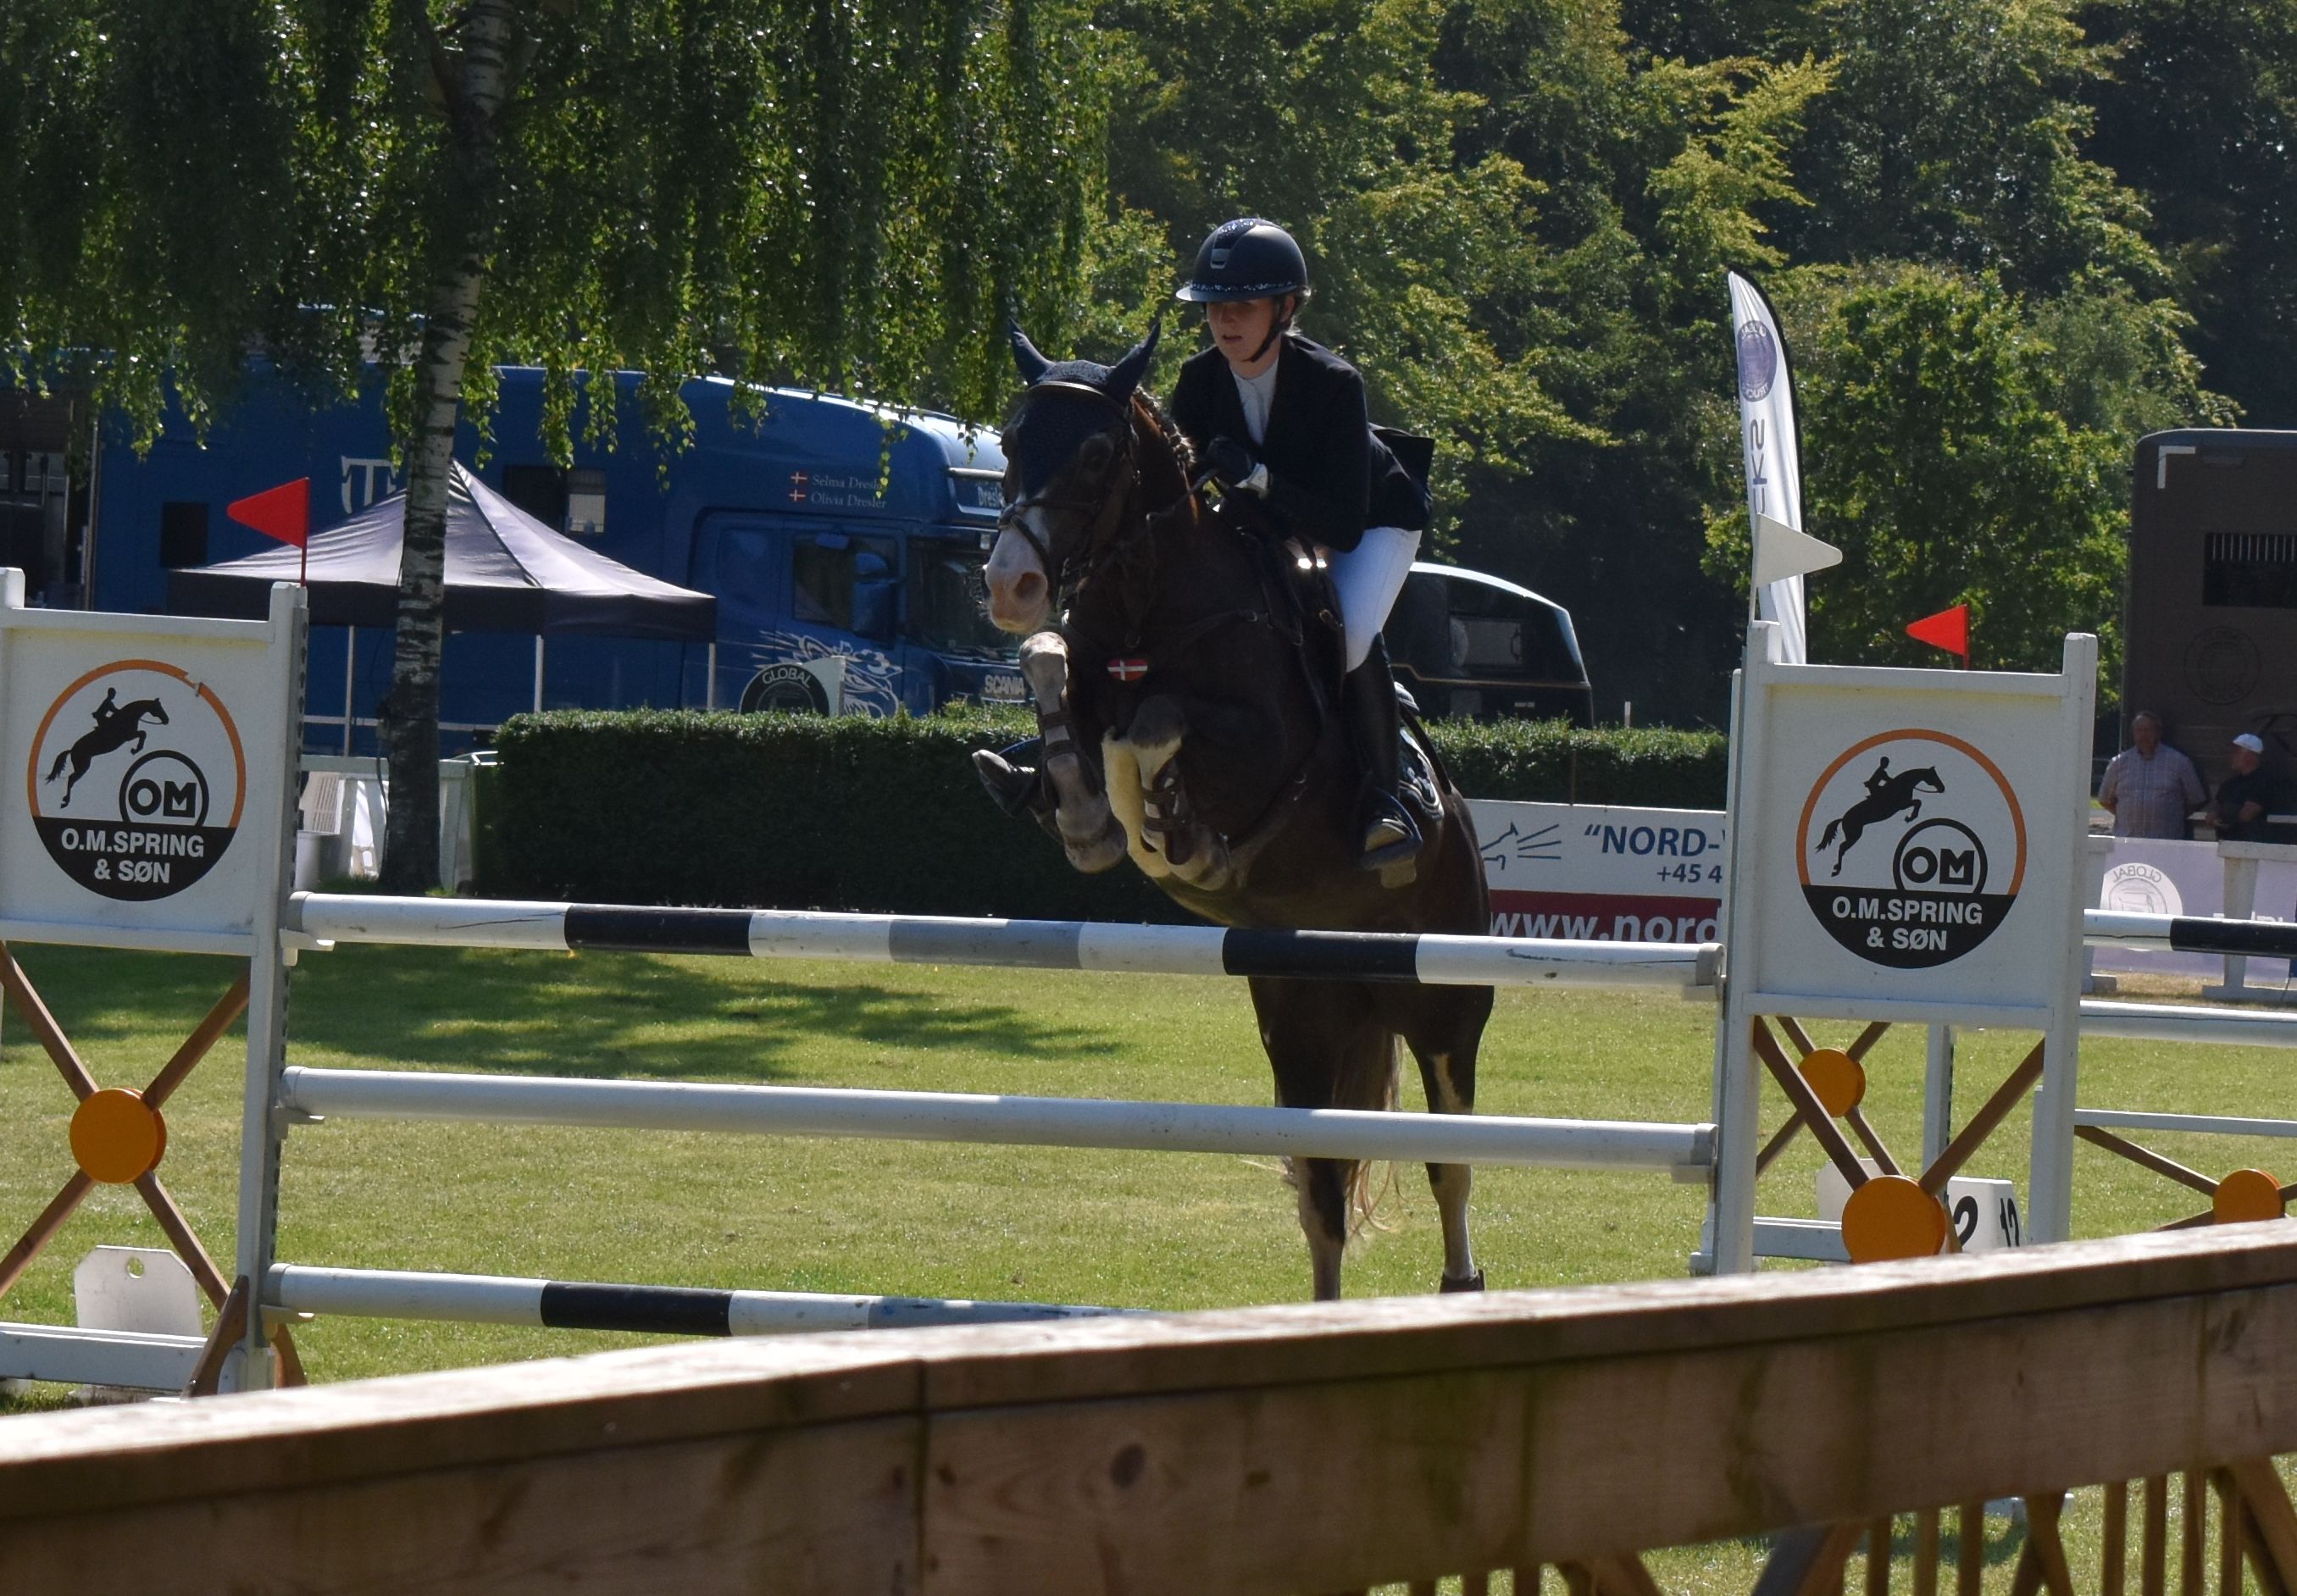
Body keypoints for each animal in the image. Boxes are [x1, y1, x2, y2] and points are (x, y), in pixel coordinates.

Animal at [42, 698, 169, 812]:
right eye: (159, 708)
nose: (167, 720)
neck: (127, 716)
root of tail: (72, 749)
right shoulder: (128, 736)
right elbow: (143, 734)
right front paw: (136, 750)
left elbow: (143, 734)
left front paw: (136, 749)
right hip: (83, 767)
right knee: (71, 779)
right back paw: (65, 801)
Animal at [983, 321, 1488, 1294]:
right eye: (1010, 440)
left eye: (1096, 454)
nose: (1008, 586)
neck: (1153, 603)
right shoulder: (1081, 661)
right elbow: (1052, 664)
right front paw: (1081, 811)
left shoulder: (1263, 748)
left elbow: (1150, 727)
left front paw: (1164, 833)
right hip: (1300, 1018)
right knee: (1323, 1186)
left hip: (1443, 1001)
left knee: (1449, 1162)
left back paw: (1461, 1289)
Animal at [1810, 767, 1939, 881]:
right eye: (1934, 776)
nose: (1941, 788)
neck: (1900, 785)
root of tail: (1843, 818)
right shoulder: (1902, 805)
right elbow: (1918, 802)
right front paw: (1910, 817)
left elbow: (1918, 802)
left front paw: (1910, 817)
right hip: (1854, 835)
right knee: (1842, 847)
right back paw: (1837, 870)